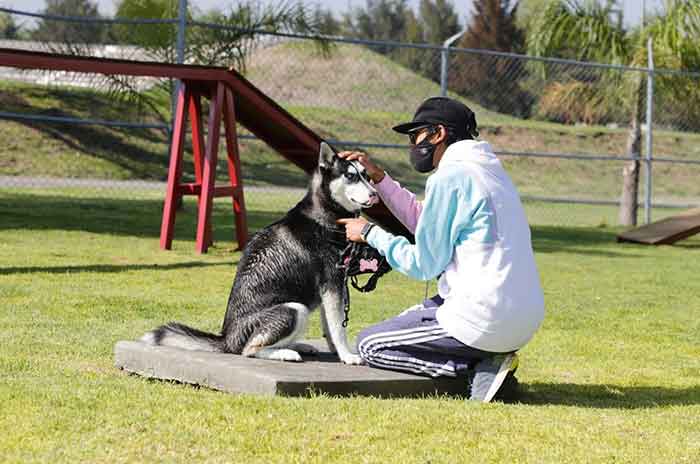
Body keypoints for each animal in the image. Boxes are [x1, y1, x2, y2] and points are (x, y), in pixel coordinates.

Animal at [141, 143, 378, 364]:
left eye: (366, 176)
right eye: (350, 176)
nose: (375, 194)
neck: (325, 216)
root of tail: (226, 339)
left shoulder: (331, 288)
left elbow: (329, 327)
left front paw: (336, 352)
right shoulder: (332, 284)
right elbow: (338, 327)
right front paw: (347, 355)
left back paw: (297, 345)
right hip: (294, 309)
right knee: (250, 349)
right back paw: (286, 353)